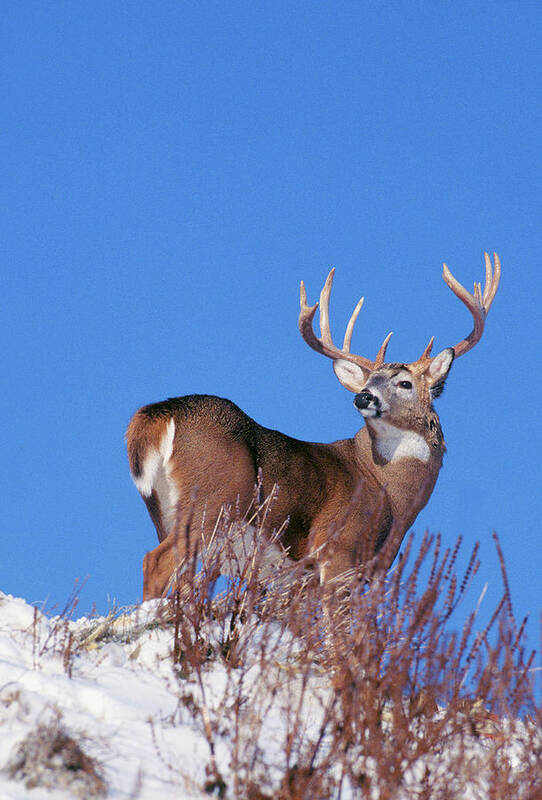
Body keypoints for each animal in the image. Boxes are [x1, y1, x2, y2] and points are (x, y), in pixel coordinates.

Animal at [126, 253, 502, 596]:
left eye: (405, 383)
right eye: (371, 381)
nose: (363, 396)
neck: (390, 494)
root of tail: (160, 413)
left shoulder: (304, 579)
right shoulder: (338, 551)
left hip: (164, 513)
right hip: (212, 498)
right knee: (155, 561)